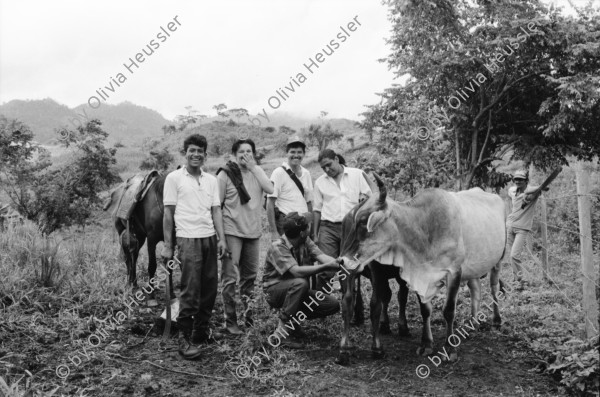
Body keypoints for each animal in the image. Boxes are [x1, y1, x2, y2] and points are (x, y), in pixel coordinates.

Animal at [338, 176, 506, 366]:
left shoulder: (454, 271)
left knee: (494, 288)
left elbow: (449, 310)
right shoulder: (421, 275)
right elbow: (425, 310)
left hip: (499, 259)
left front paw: (450, 349)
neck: (425, 227)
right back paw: (473, 323)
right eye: (354, 220)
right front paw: (426, 344)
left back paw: (496, 320)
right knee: (475, 289)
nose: (342, 260)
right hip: (473, 267)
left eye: (363, 221)